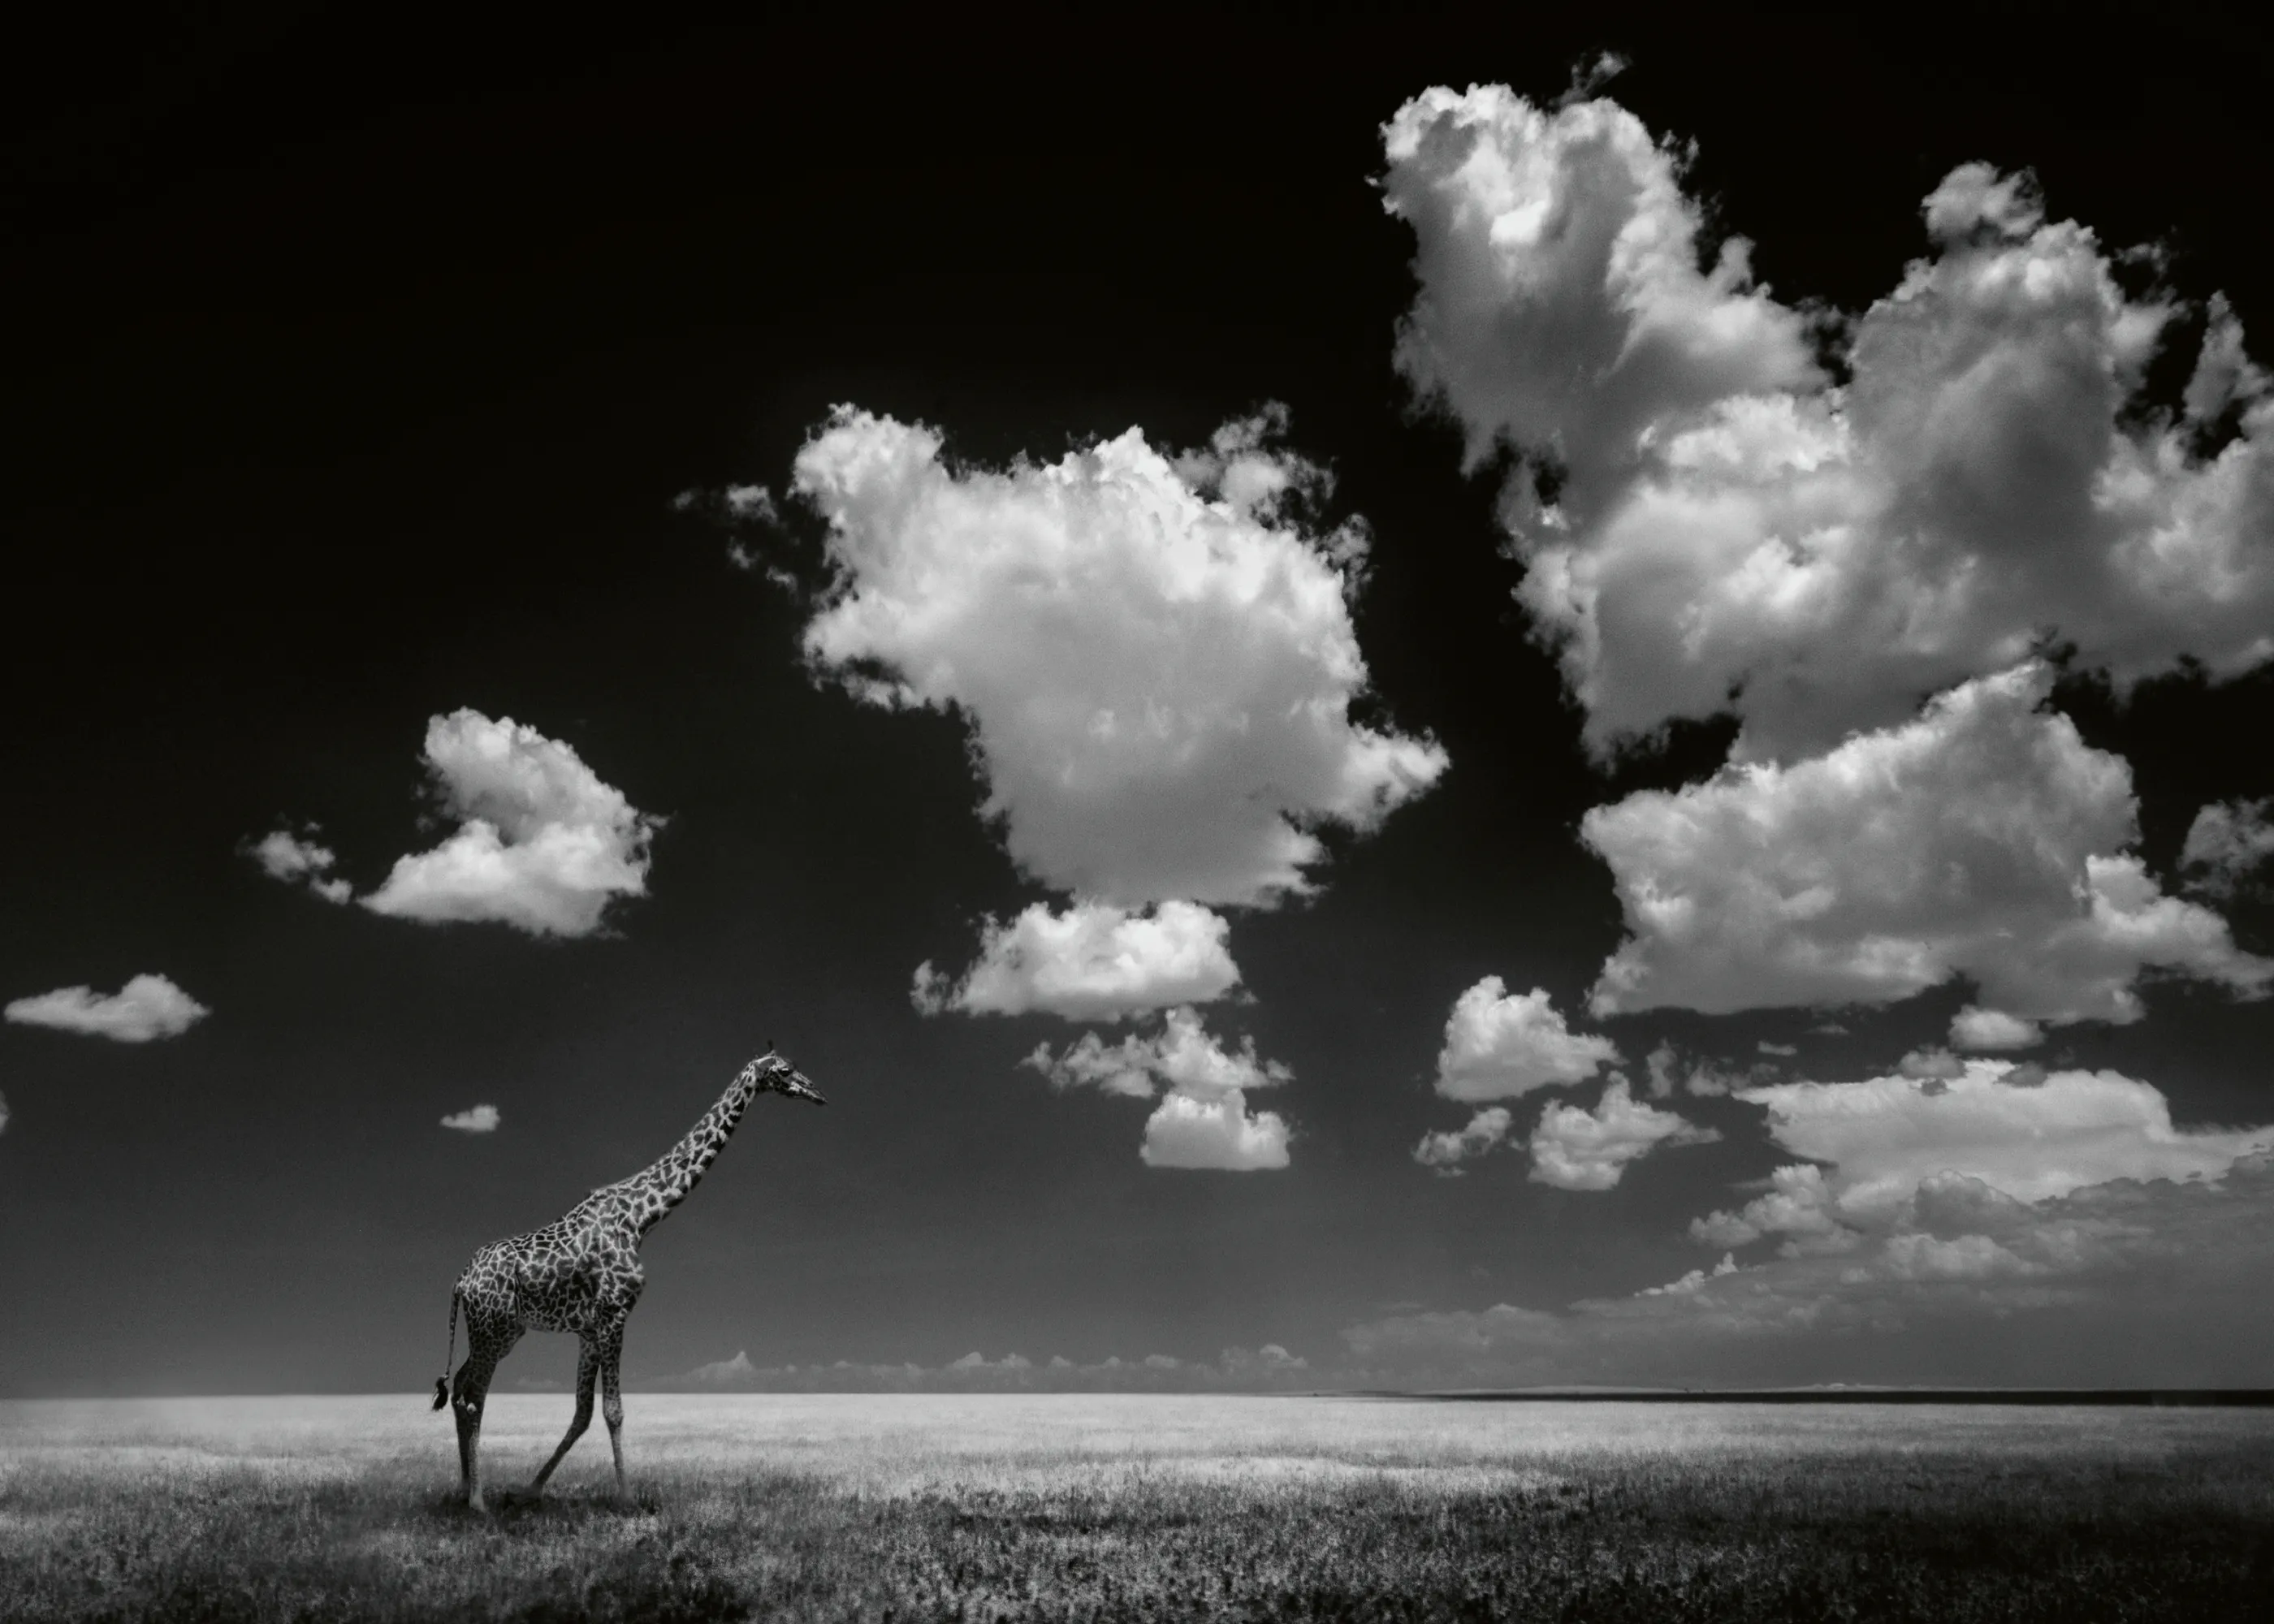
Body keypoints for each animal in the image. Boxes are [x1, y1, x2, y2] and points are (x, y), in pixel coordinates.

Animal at [432, 1048, 825, 1510]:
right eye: (785, 1070)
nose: (817, 1092)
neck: (641, 1216)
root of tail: (460, 1281)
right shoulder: (615, 1315)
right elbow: (613, 1411)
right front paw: (627, 1497)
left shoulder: (588, 1330)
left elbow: (583, 1413)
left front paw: (529, 1489)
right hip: (494, 1331)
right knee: (471, 1397)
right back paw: (477, 1501)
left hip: (496, 1333)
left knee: (460, 1386)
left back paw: (463, 1488)